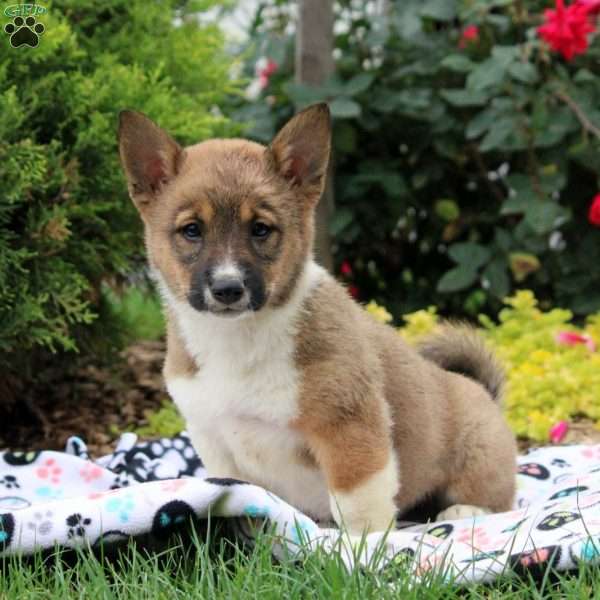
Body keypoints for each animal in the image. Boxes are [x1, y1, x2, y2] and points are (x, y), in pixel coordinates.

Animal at [117, 103, 516, 536]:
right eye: (191, 230)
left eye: (261, 229)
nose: (227, 288)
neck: (238, 338)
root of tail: (486, 395)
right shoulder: (215, 440)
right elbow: (243, 496)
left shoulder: (349, 429)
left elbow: (358, 505)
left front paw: (361, 548)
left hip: (478, 451)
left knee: (496, 497)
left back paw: (463, 512)